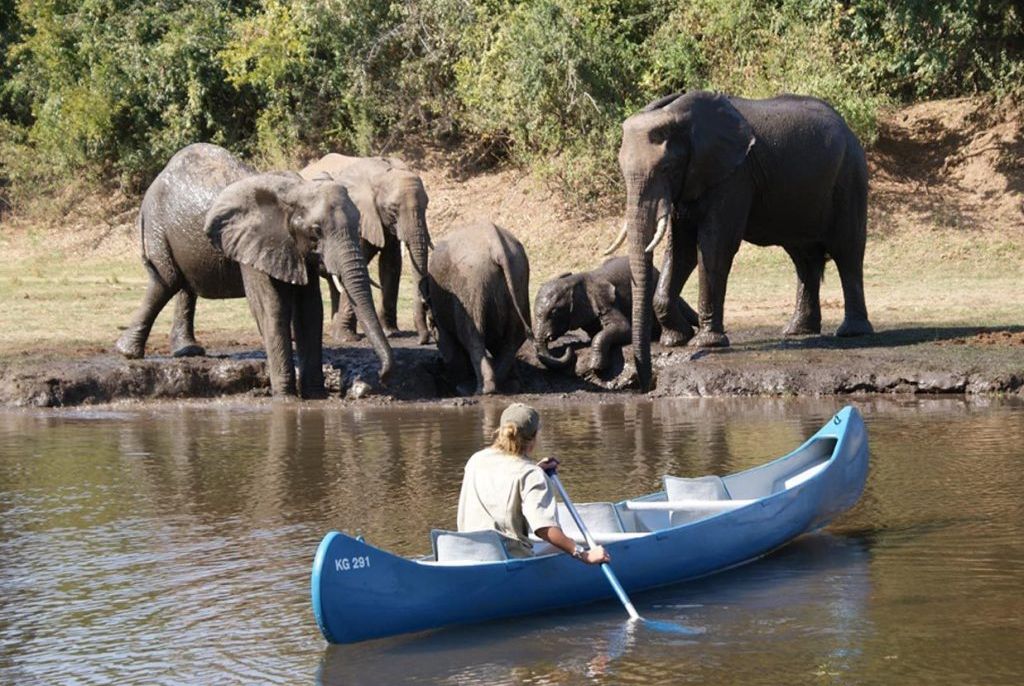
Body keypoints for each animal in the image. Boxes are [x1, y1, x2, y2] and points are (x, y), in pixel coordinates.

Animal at [114, 143, 393, 397]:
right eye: (316, 231)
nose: (381, 377)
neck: (297, 190)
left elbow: (310, 310)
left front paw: (315, 395)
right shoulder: (255, 244)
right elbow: (272, 308)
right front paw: (285, 397)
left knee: (185, 286)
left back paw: (188, 351)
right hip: (157, 225)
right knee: (166, 281)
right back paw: (128, 352)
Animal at [303, 154, 432, 344]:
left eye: (426, 206)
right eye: (393, 209)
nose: (423, 340)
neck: (380, 174)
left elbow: (391, 264)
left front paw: (391, 332)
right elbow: (360, 264)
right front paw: (347, 338)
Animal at [428, 220, 532, 397]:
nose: (437, 363)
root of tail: (497, 246)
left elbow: (449, 344)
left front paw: (456, 383)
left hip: (472, 285)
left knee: (472, 336)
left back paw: (479, 390)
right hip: (518, 278)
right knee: (513, 338)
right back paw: (509, 385)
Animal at [532, 258, 700, 376]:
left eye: (554, 312)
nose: (568, 348)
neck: (574, 281)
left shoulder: (606, 301)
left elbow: (624, 329)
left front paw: (596, 367)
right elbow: (596, 332)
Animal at [610, 92, 876, 393]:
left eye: (667, 167)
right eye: (622, 171)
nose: (645, 384)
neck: (679, 115)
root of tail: (848, 128)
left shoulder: (734, 176)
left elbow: (713, 246)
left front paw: (705, 342)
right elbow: (681, 250)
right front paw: (676, 340)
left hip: (850, 175)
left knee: (847, 251)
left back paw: (851, 332)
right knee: (803, 259)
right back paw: (797, 331)